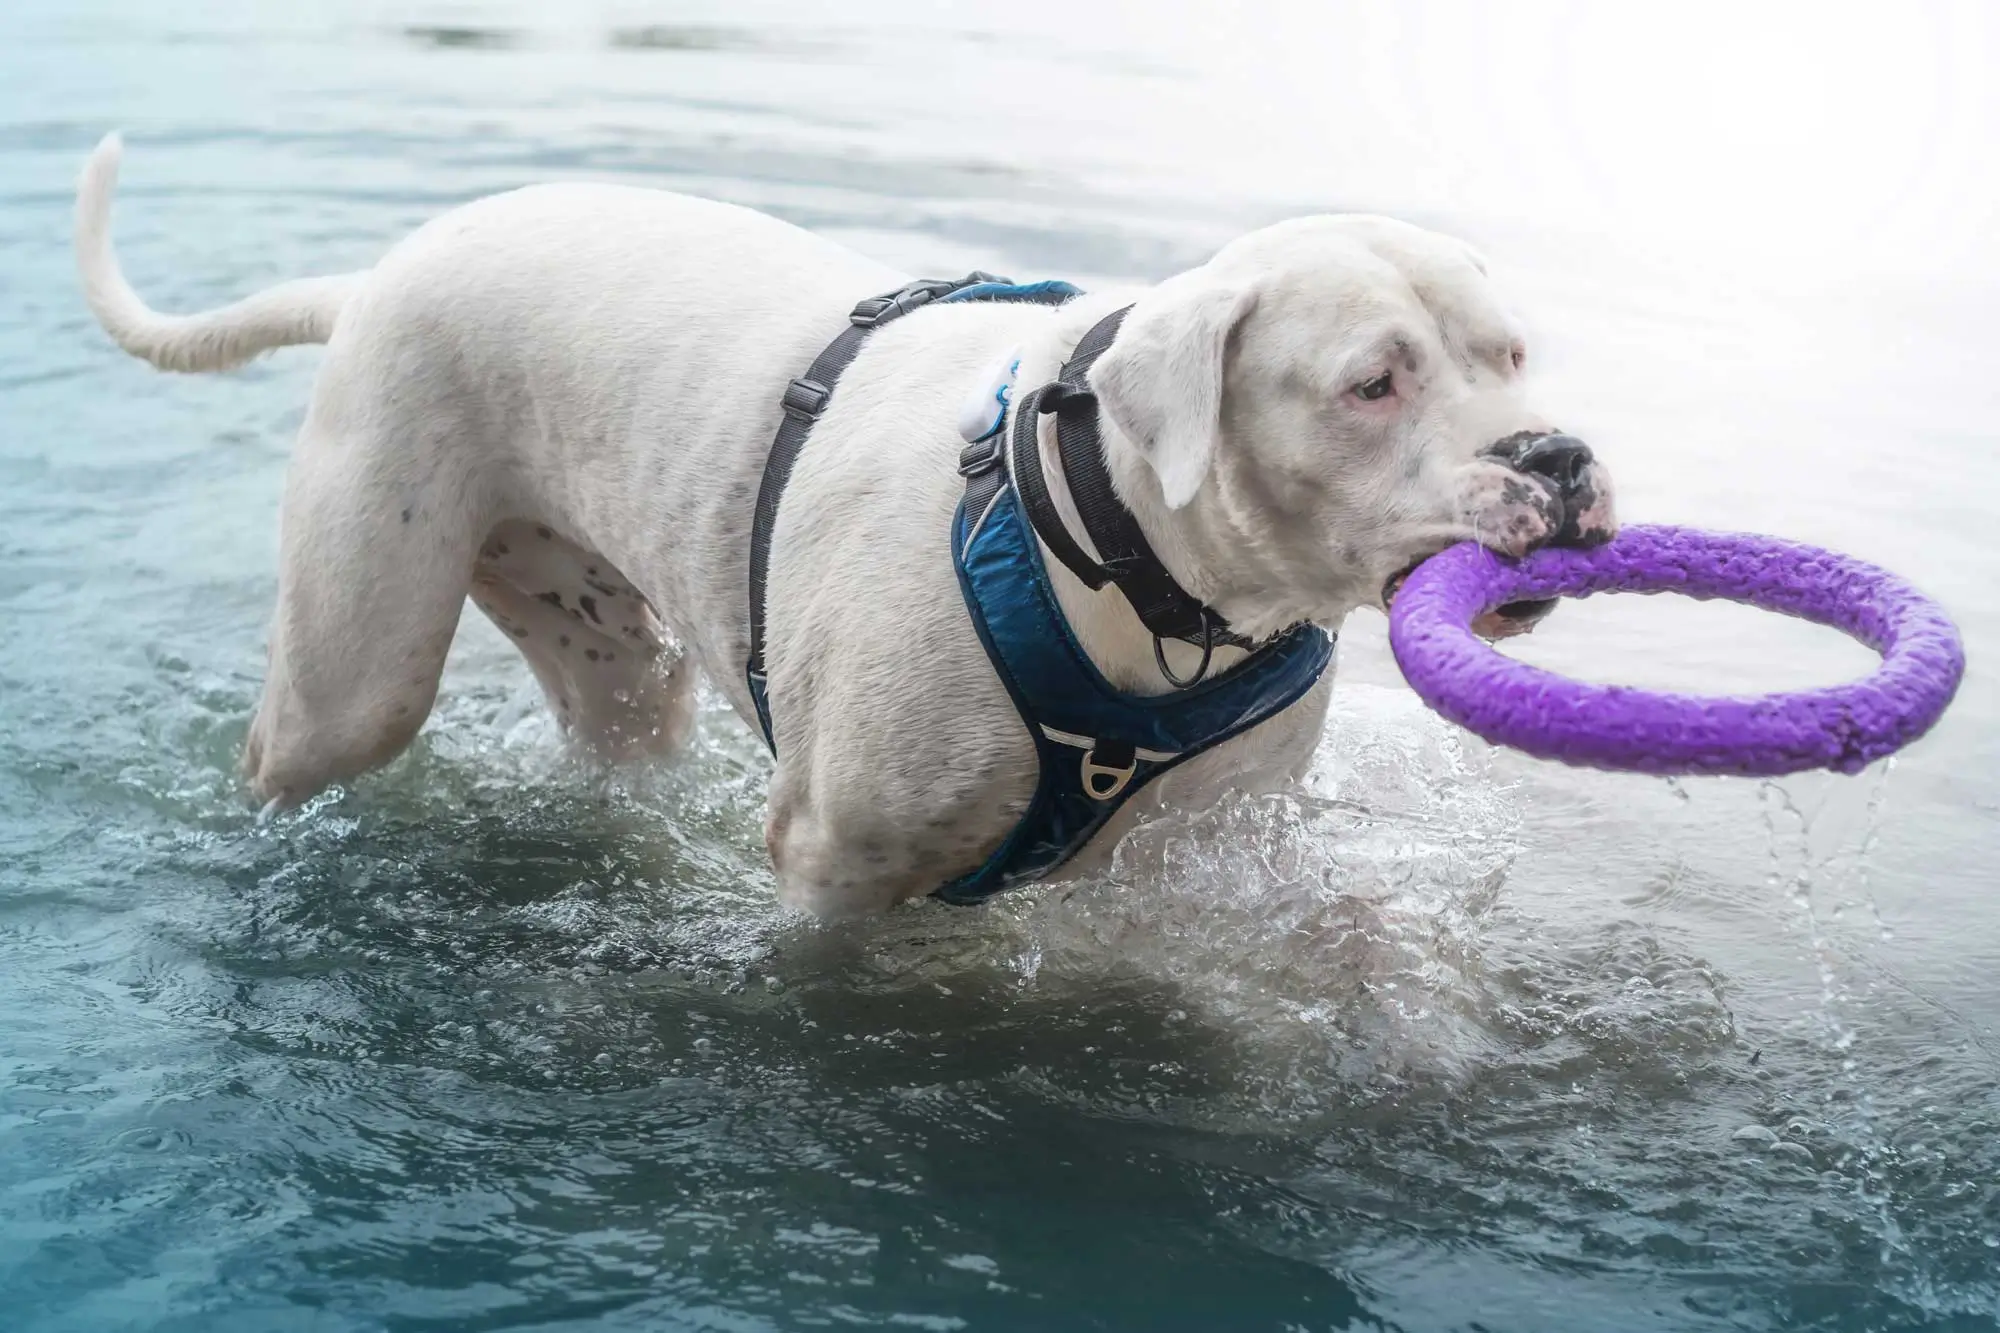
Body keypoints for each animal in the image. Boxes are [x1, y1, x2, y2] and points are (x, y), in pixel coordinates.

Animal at [70, 135, 1616, 920]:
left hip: (603, 650)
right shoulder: (835, 873)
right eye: (1371, 381)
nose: (1557, 454)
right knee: (310, 742)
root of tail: (374, 276)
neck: (1107, 553)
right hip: (358, 665)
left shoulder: (1196, 858)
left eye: (1510, 354)